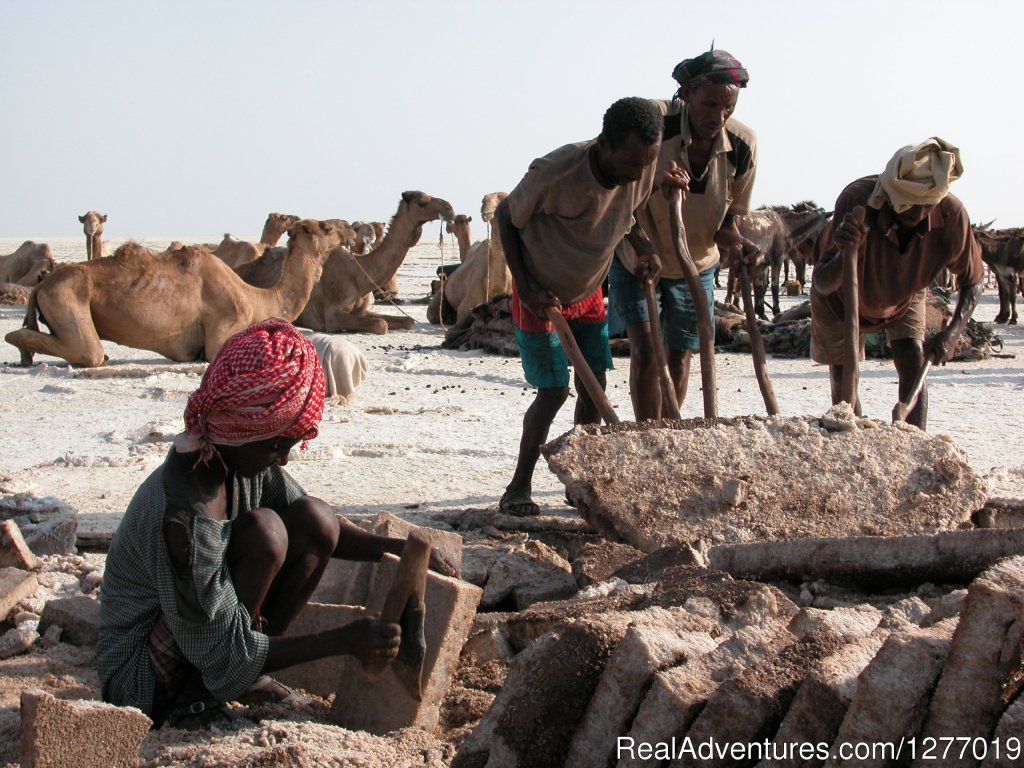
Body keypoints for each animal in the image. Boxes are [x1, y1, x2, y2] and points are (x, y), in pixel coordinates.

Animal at [4, 219, 339, 370]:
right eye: (325, 227)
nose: (345, 227)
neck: (258, 299)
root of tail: (41, 284)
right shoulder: (225, 324)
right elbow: (215, 351)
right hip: (65, 297)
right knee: (87, 351)